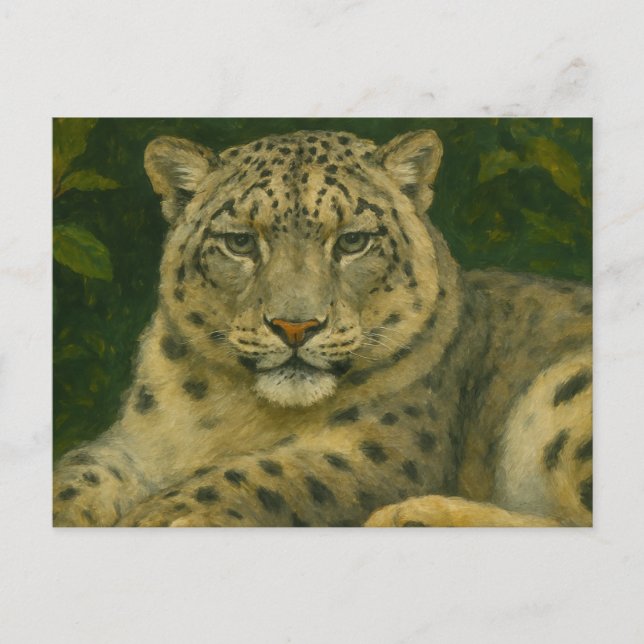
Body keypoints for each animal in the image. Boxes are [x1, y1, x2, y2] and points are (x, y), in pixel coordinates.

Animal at [53, 128, 592, 527]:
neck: (233, 410)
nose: (296, 326)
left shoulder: (379, 450)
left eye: (353, 241)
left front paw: (154, 518)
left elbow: (260, 474)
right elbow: (77, 477)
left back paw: (412, 516)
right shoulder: (133, 444)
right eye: (241, 242)